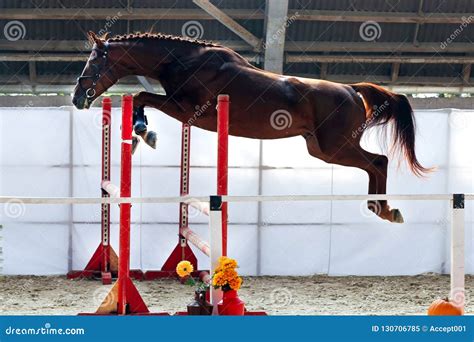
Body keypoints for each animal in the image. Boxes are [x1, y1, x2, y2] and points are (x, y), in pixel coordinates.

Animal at [72, 32, 432, 223]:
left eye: (94, 62)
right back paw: (381, 208)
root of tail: (352, 90)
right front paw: (140, 132)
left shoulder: (187, 110)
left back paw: (384, 209)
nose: (77, 97)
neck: (183, 60)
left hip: (336, 146)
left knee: (378, 161)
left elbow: (141, 95)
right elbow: (142, 97)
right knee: (374, 163)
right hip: (322, 149)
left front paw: (145, 131)